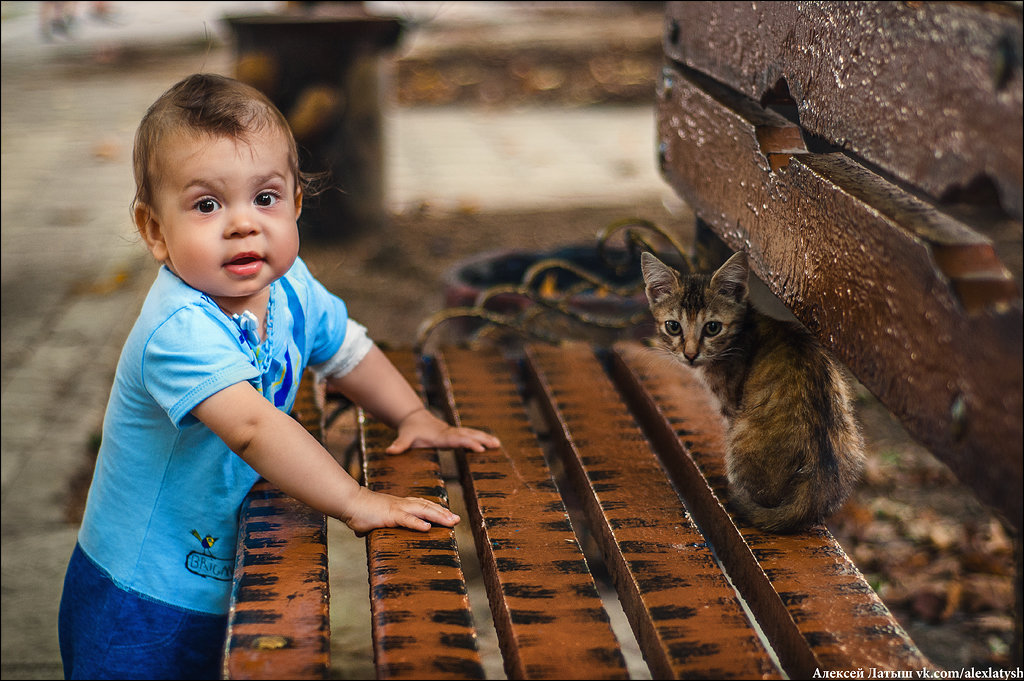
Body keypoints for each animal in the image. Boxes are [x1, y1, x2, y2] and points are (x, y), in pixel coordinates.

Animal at [638, 249, 864, 532]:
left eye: (712, 327)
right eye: (673, 326)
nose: (690, 355)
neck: (743, 331)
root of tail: (812, 494)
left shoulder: (731, 405)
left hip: (739, 432)